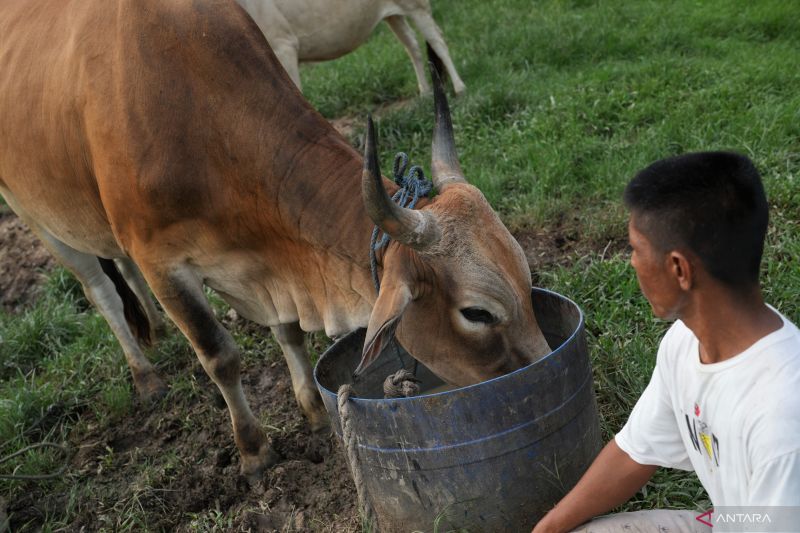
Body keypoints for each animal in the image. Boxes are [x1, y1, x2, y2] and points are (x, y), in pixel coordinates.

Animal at [234, 0, 466, 94]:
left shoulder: (283, 45)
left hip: (417, 6)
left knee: (437, 40)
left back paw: (459, 88)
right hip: (394, 15)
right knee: (412, 45)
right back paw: (424, 92)